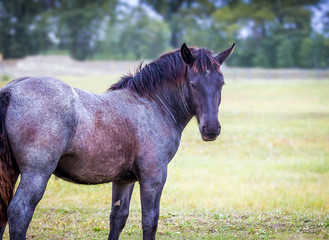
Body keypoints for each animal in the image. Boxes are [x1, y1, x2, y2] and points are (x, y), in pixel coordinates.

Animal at [0, 42, 233, 239]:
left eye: (221, 84)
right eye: (193, 84)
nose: (211, 129)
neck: (152, 104)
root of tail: (11, 90)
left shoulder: (124, 180)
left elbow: (118, 218)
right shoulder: (153, 178)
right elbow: (150, 221)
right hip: (36, 174)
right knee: (19, 213)